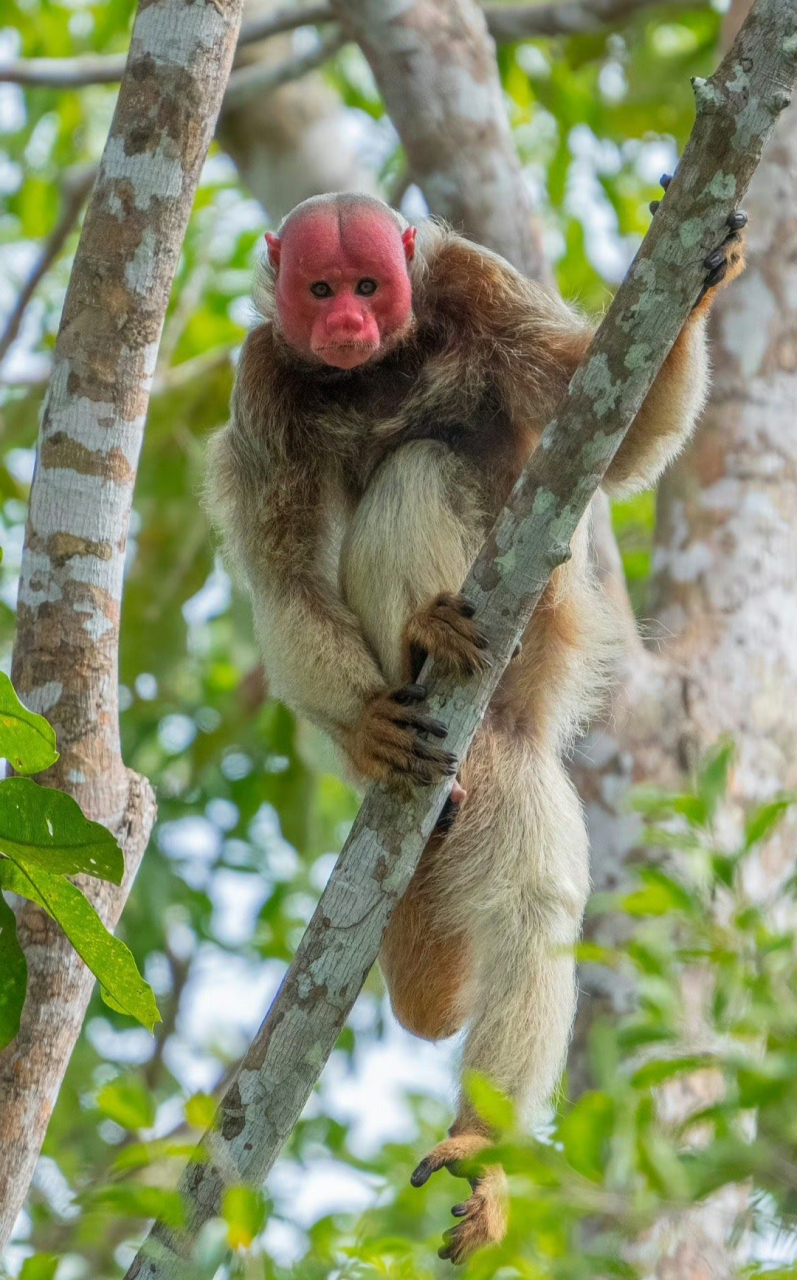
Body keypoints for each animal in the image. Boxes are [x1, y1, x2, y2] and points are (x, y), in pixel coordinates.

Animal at [207, 186, 747, 1259]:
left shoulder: (477, 284)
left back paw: (481, 1147)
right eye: (320, 290)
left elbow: (619, 435)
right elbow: (283, 578)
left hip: (523, 702)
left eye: (369, 285)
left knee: (532, 907)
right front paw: (365, 726)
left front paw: (702, 284)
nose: (346, 321)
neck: (376, 370)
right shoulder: (261, 382)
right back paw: (413, 674)